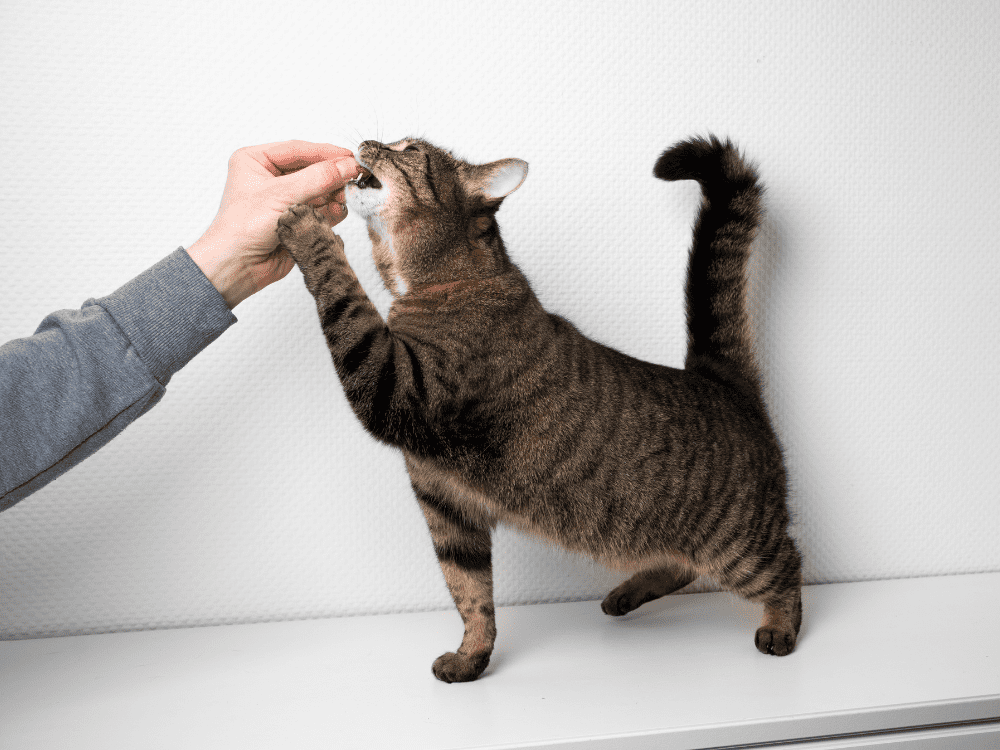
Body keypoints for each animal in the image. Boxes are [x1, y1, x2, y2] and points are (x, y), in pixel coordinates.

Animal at [276, 134, 804, 680]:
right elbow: (470, 593)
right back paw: (629, 592)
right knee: (682, 565)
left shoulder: (394, 385)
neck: (451, 279)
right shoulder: (446, 504)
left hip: (737, 544)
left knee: (787, 566)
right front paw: (471, 657)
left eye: (410, 149)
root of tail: (718, 378)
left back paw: (779, 625)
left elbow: (346, 301)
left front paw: (307, 229)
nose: (367, 141)